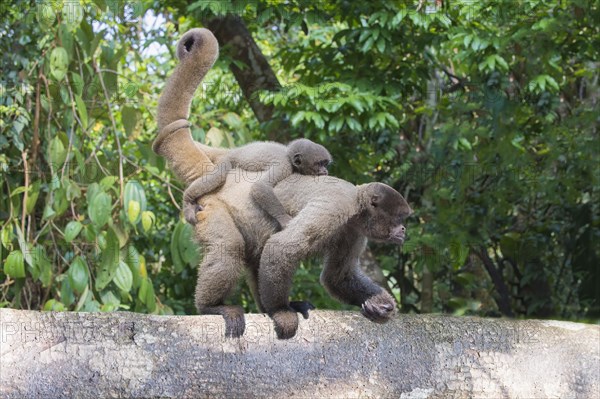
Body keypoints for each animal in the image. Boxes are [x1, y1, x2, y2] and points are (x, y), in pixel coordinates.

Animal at [183, 138, 332, 228]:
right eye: (319, 164)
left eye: (325, 163)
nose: (325, 170)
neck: (289, 157)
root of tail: (234, 150)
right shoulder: (284, 166)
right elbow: (260, 187)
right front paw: (284, 219)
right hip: (226, 160)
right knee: (218, 177)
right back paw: (188, 201)